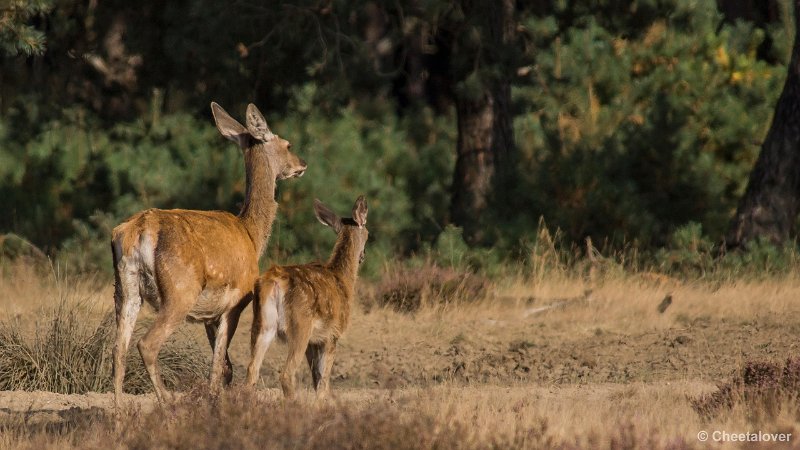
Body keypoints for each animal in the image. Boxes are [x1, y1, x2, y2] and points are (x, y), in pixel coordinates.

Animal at [109, 103, 304, 404]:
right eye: (288, 144)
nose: (301, 165)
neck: (251, 234)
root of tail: (141, 229)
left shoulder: (209, 315)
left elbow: (225, 366)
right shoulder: (237, 300)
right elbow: (220, 365)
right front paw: (214, 401)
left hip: (125, 288)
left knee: (118, 349)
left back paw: (119, 411)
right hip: (180, 290)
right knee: (147, 344)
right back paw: (168, 402)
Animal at [247, 195, 368, 400]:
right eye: (368, 233)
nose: (363, 256)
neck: (343, 278)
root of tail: (274, 281)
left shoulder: (315, 340)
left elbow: (315, 377)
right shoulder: (332, 333)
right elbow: (323, 380)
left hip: (262, 323)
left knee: (252, 369)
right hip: (300, 325)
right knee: (286, 373)